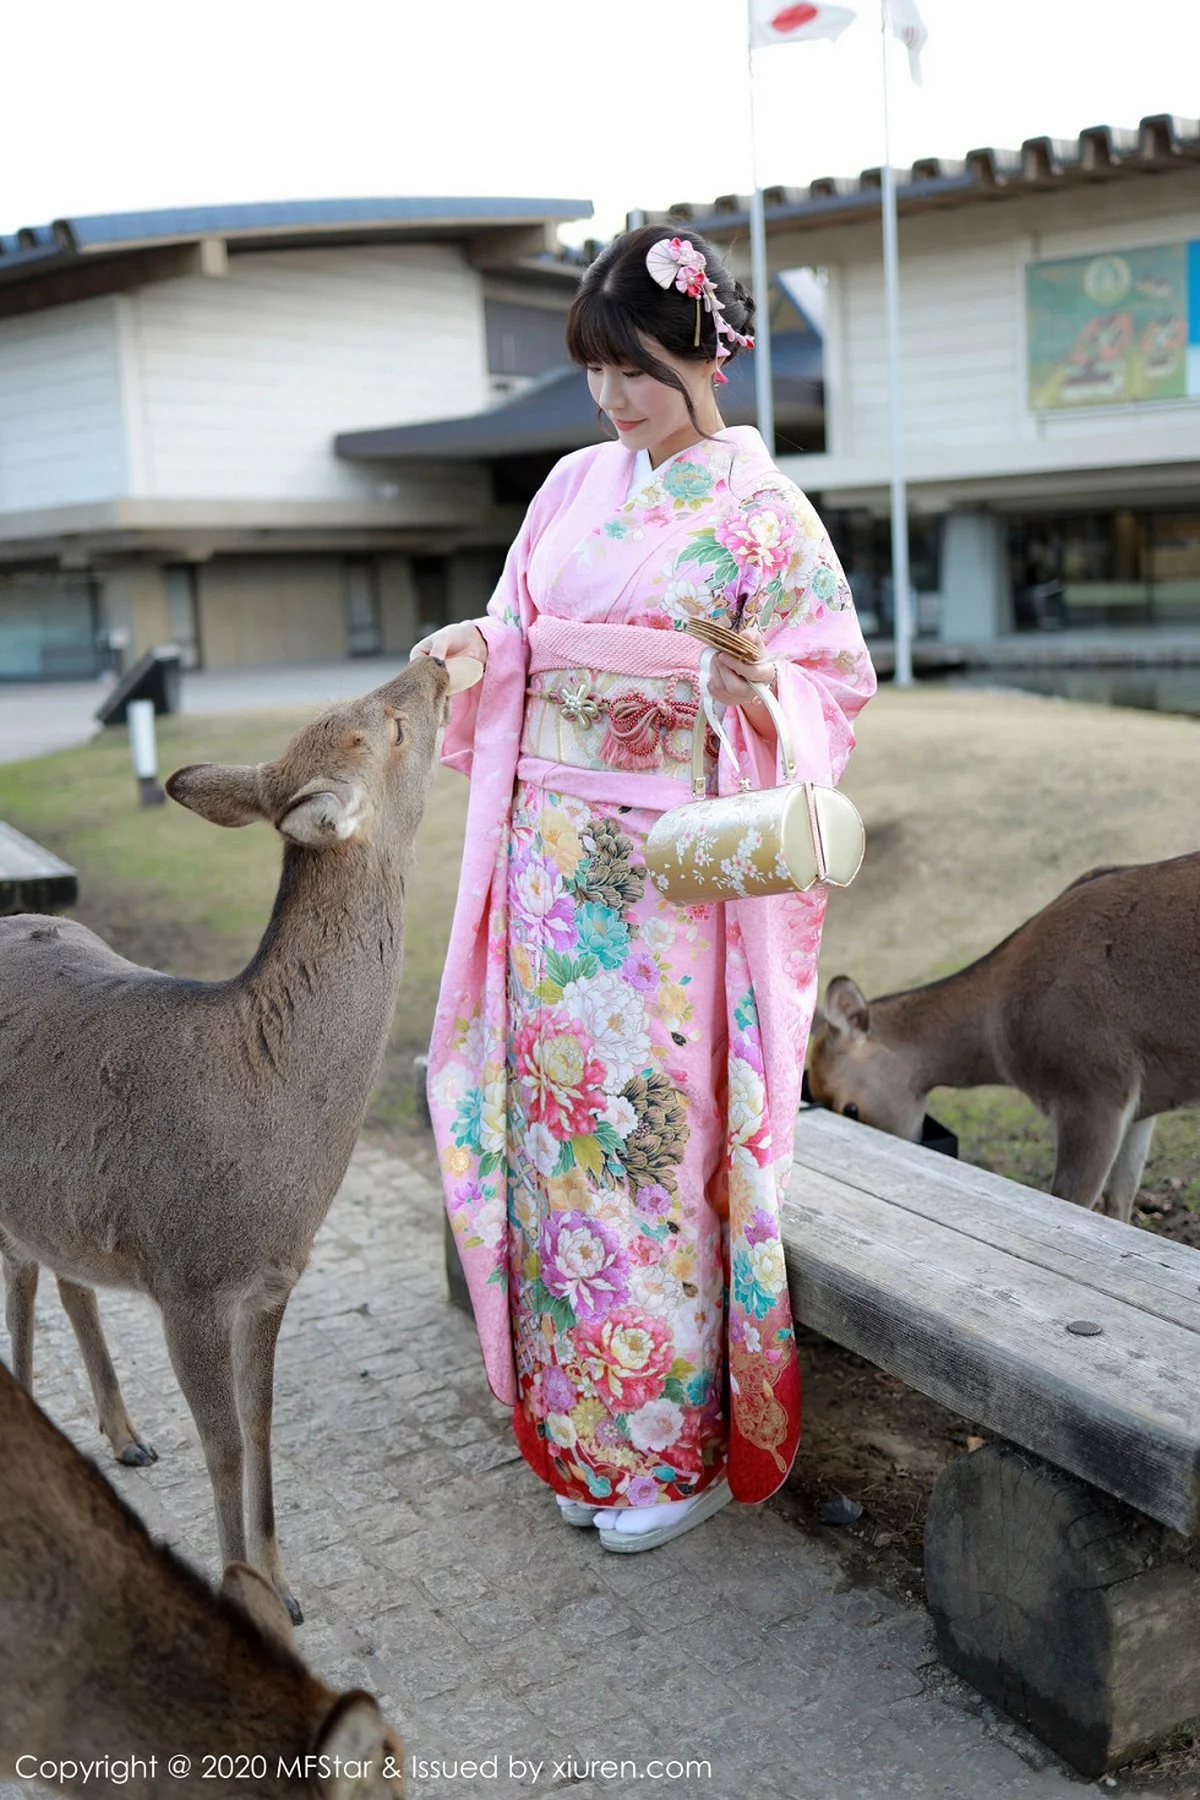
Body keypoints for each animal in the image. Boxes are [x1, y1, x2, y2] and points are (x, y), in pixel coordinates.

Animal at [0, 658, 455, 1620]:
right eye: (393, 726)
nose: (434, 662)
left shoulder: (273, 1281)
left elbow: (263, 1423)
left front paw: (282, 1581)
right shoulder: (187, 1280)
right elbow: (223, 1443)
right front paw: (242, 1590)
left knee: (57, 1274)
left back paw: (122, 1435)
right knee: (23, 1277)